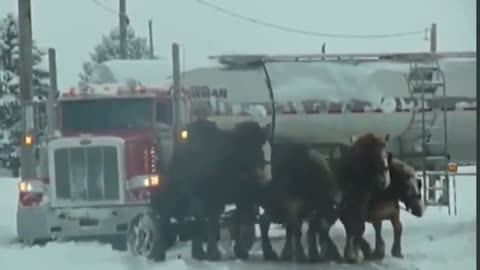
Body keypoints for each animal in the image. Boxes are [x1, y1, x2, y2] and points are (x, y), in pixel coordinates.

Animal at [149, 118, 270, 262]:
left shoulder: (241, 197)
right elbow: (213, 221)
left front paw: (239, 251)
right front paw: (213, 254)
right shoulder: (214, 197)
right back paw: (158, 253)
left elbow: (237, 218)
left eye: (259, 146)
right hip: (178, 194)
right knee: (163, 215)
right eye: (241, 146)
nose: (258, 174)